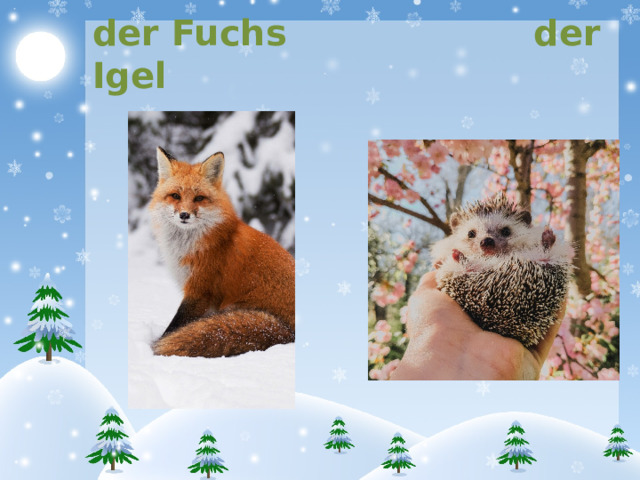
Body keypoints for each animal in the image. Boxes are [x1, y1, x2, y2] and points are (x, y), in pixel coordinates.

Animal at [149, 146, 295, 358]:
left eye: (199, 198)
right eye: (176, 196)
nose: (184, 215)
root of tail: (289, 333)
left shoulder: (200, 290)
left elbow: (174, 326)